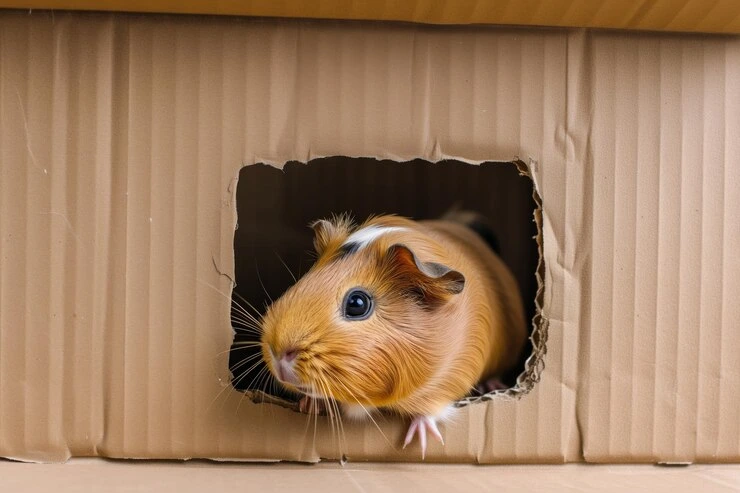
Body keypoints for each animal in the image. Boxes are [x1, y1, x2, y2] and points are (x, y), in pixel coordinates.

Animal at [260, 212, 527, 458]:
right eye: (304, 280)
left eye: (357, 303)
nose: (280, 353)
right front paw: (309, 405)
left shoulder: (452, 375)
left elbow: (431, 409)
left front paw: (418, 441)